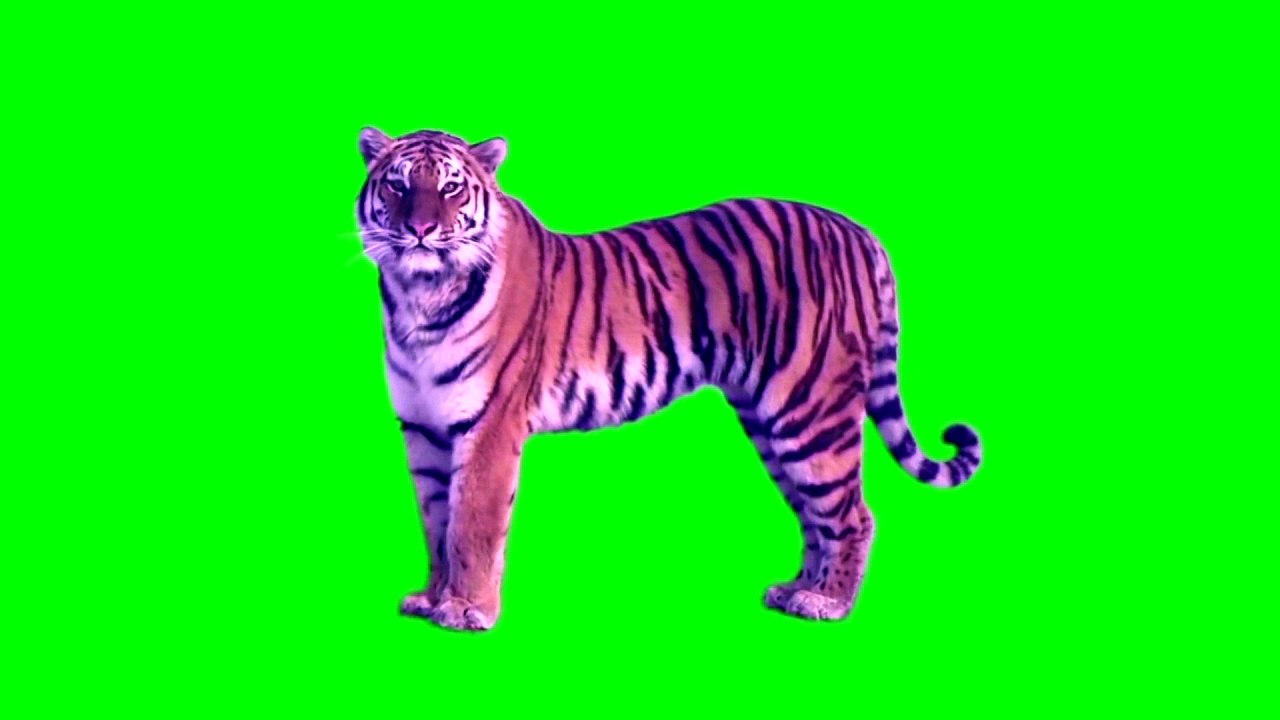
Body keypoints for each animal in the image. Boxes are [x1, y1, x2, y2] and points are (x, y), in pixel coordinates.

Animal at [355, 127, 983, 631]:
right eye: (398, 186)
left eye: (451, 189)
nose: (420, 230)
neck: (418, 294)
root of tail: (857, 229)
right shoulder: (422, 427)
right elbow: (435, 521)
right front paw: (431, 598)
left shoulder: (488, 425)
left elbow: (471, 525)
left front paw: (466, 610)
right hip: (771, 420)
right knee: (814, 513)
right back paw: (797, 590)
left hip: (811, 408)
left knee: (851, 513)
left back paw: (828, 603)